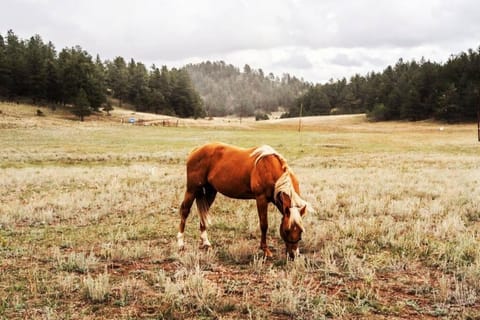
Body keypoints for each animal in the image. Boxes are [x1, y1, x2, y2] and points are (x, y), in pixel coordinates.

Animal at [178, 142, 310, 260]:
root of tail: (197, 150)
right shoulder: (261, 199)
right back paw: (180, 243)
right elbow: (264, 225)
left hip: (211, 191)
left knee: (203, 213)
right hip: (192, 189)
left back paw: (205, 242)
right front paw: (265, 250)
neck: (269, 168)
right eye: (286, 230)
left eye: (301, 231)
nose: (293, 255)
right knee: (185, 211)